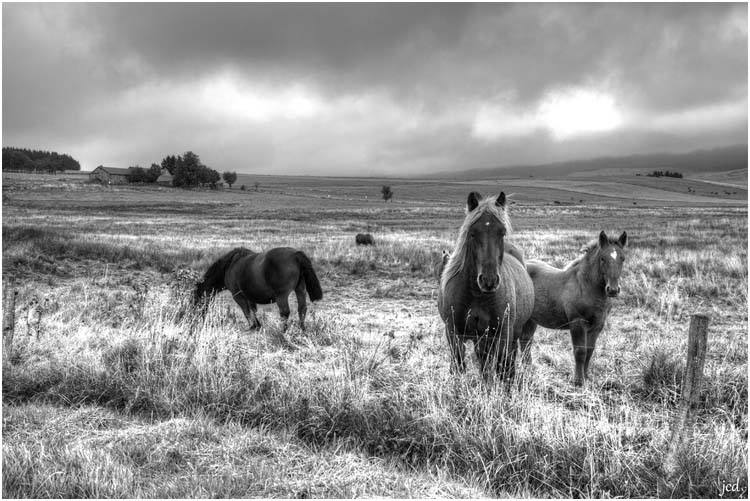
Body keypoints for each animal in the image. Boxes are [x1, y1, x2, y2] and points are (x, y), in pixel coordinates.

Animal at [194, 245, 324, 330]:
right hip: (300, 289)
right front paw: (257, 325)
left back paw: (283, 331)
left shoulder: (238, 296)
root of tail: (296, 255)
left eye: (196, 300)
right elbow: (252, 309)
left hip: (281, 296)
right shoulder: (249, 295)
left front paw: (252, 326)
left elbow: (246, 311)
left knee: (285, 312)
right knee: (302, 309)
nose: (196, 318)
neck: (229, 266)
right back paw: (302, 329)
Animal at [438, 192, 536, 382]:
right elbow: (459, 366)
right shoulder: (454, 333)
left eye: (502, 232)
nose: (488, 281)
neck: (476, 294)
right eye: (472, 233)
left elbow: (503, 369)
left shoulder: (502, 334)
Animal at [524, 229, 636, 384]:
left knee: (526, 343)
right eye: (602, 259)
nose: (613, 290)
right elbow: (580, 351)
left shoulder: (597, 325)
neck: (585, 286)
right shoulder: (578, 323)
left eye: (623, 258)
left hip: (531, 320)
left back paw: (528, 371)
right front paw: (578, 381)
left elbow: (589, 351)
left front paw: (587, 377)